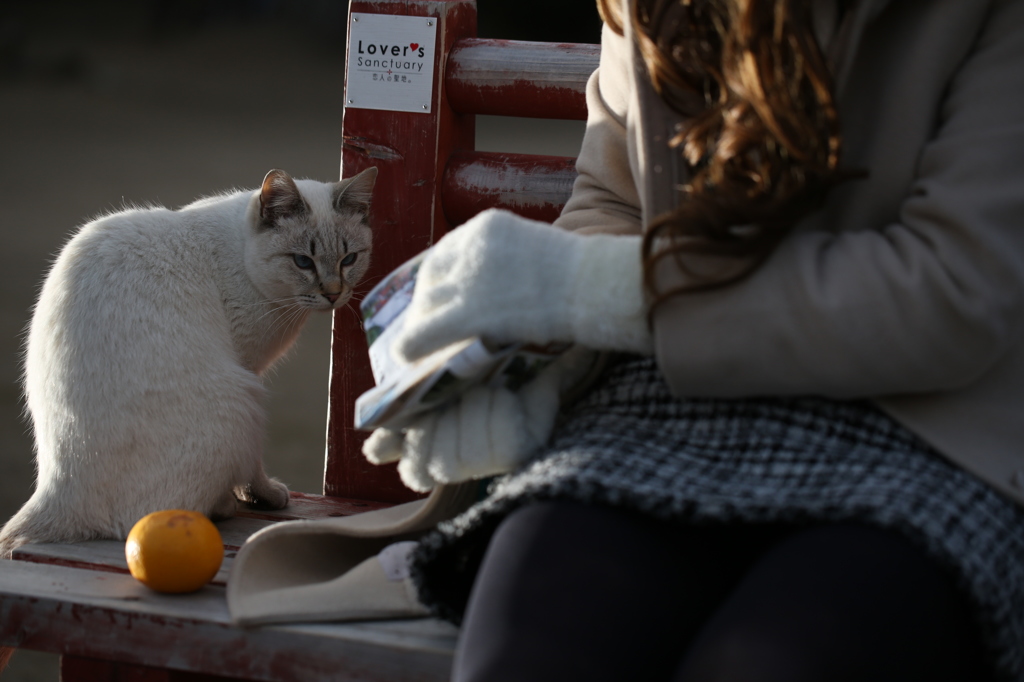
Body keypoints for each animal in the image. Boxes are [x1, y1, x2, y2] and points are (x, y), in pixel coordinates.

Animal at [0, 166, 376, 557]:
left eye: (349, 260)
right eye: (303, 262)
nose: (333, 294)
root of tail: (55, 490)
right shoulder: (250, 368)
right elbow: (254, 473)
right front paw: (266, 496)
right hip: (244, 402)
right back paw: (225, 504)